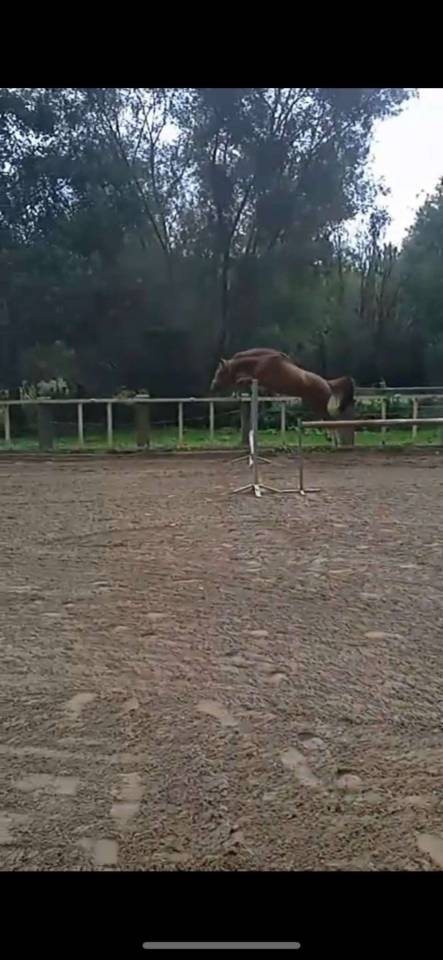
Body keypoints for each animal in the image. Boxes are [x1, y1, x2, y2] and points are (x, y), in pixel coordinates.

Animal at [210, 349, 355, 418]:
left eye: (220, 372)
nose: (213, 386)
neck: (259, 362)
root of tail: (327, 382)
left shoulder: (262, 379)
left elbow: (246, 379)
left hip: (320, 405)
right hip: (314, 405)